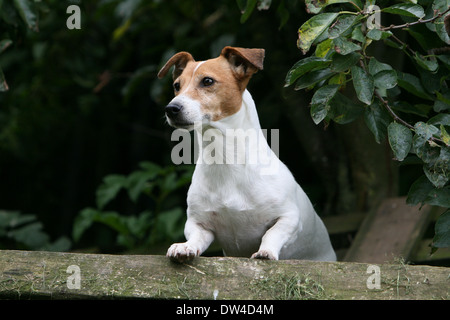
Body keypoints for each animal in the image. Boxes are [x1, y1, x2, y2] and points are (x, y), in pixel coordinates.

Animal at [156, 46, 336, 262]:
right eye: (177, 85)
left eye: (207, 81)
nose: (171, 109)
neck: (225, 159)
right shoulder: (198, 224)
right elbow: (196, 237)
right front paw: (185, 247)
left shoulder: (290, 218)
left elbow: (272, 233)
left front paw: (265, 252)